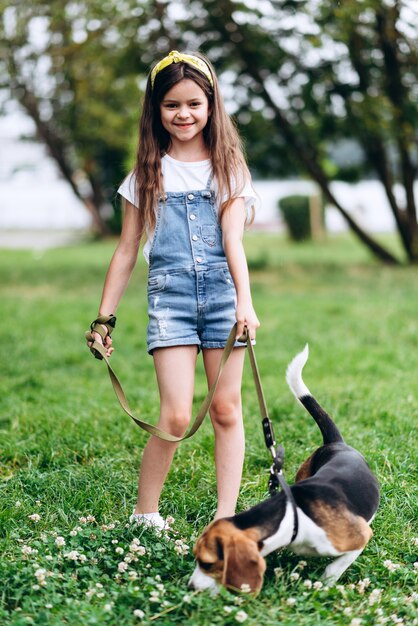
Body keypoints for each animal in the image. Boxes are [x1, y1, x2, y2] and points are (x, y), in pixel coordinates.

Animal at [189, 344, 378, 592]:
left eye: (207, 563)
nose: (190, 586)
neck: (293, 516)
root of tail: (336, 443)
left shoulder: (360, 536)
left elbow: (333, 568)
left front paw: (323, 585)